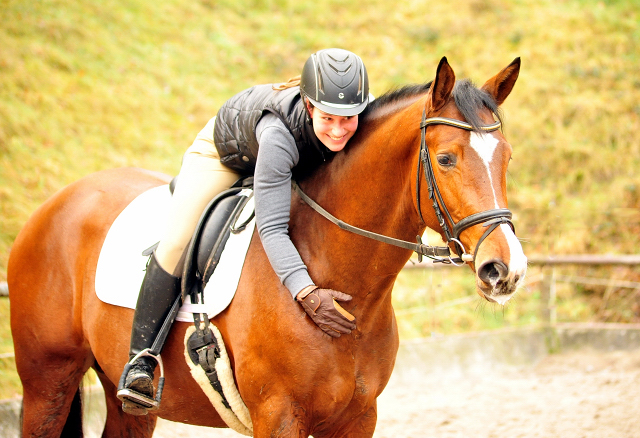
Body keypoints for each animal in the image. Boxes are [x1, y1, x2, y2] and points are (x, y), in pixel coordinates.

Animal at [7, 58, 524, 438]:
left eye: (507, 158)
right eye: (446, 159)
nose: (506, 270)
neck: (338, 277)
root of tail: (51, 207)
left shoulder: (358, 417)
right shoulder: (279, 416)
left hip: (127, 405)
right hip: (47, 384)